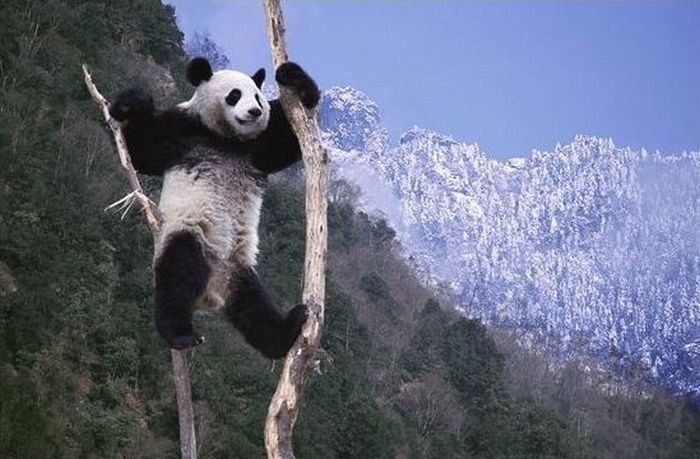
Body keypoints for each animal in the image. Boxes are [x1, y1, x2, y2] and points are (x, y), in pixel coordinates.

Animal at [108, 56, 322, 360]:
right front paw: (129, 104)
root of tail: (213, 294)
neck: (225, 138)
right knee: (178, 276)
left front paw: (291, 76)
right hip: (190, 236)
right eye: (235, 95)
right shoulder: (182, 130)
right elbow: (142, 153)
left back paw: (287, 331)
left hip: (239, 269)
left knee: (255, 307)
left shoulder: (257, 147)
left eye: (257, 96)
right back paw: (181, 334)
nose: (255, 111)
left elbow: (286, 140)